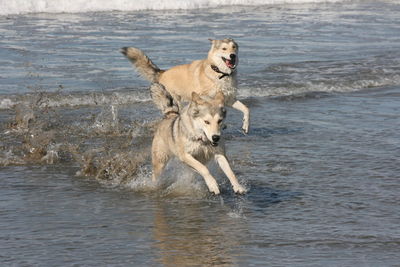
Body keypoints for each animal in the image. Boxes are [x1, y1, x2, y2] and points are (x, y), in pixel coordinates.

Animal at [120, 38, 250, 134]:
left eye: (234, 47)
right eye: (224, 49)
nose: (233, 55)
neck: (219, 72)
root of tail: (162, 73)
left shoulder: (229, 99)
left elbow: (246, 109)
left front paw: (245, 126)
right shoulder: (204, 98)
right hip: (175, 100)